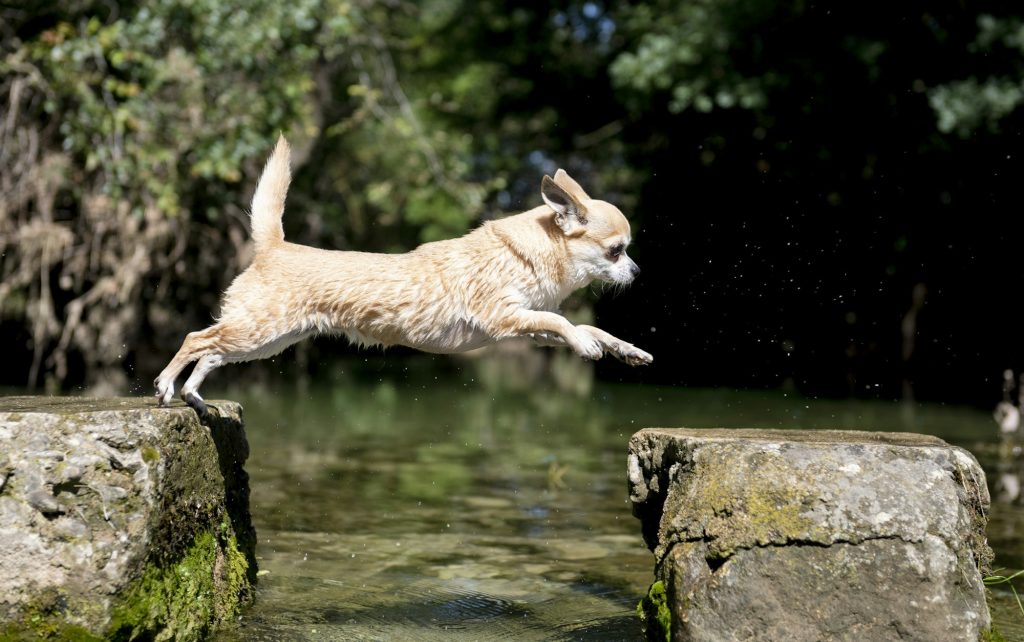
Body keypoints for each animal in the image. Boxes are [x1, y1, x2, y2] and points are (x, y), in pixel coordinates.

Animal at [155, 137, 651, 413]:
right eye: (616, 251)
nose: (637, 269)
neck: (532, 255)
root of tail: (273, 245)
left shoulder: (526, 327)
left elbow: (578, 324)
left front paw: (624, 349)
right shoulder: (505, 318)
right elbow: (563, 321)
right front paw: (588, 345)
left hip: (264, 340)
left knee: (213, 352)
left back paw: (194, 395)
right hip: (258, 332)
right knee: (196, 339)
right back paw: (165, 385)